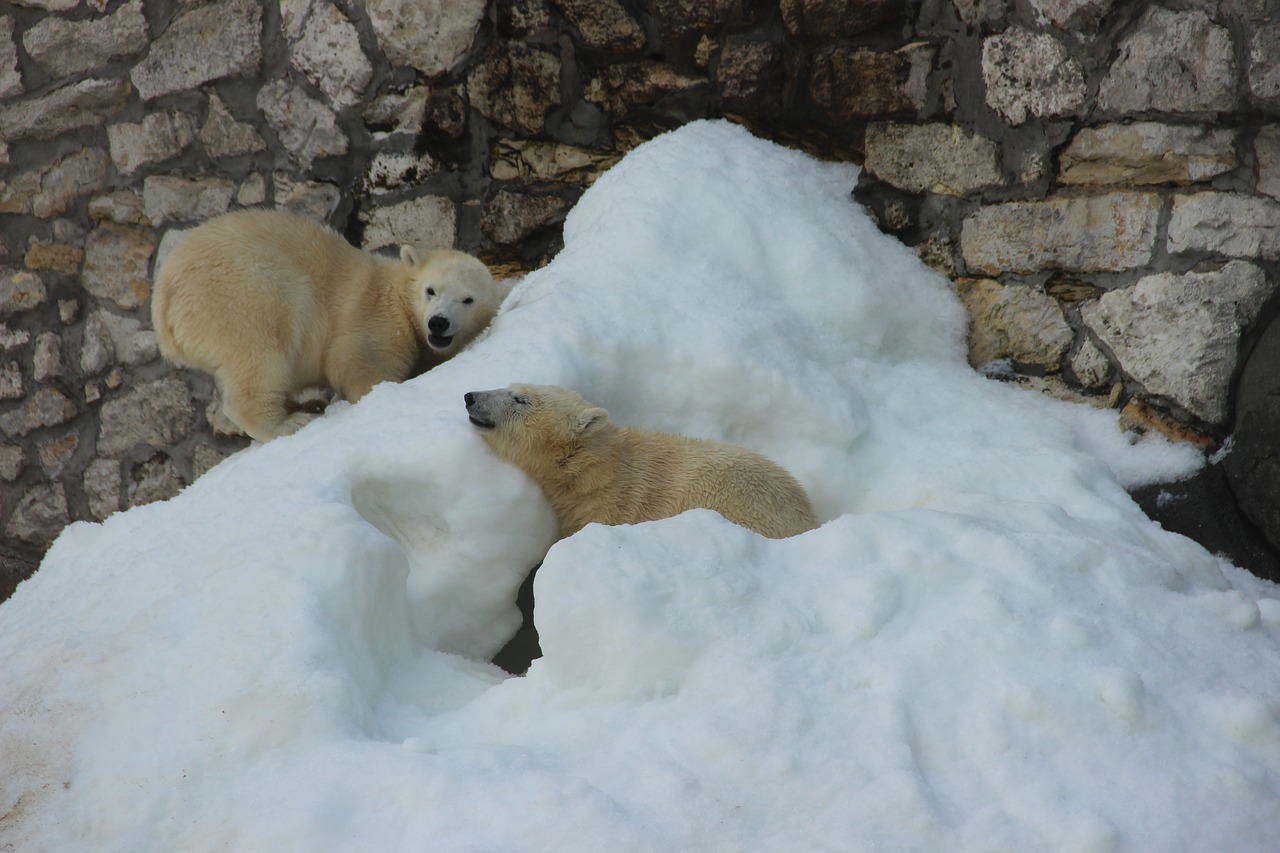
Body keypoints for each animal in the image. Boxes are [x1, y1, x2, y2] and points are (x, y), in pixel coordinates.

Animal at [152, 208, 506, 440]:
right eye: (430, 290)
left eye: (468, 299)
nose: (438, 323)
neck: (396, 294)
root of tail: (163, 300)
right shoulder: (373, 317)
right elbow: (355, 362)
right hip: (243, 295)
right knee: (261, 353)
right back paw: (289, 423)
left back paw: (304, 404)